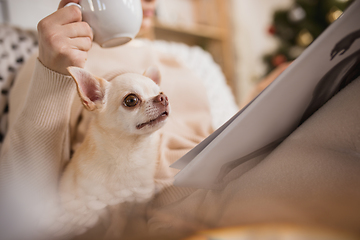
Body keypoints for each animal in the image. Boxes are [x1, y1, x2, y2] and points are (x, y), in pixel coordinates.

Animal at [40, 65, 169, 238]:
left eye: (160, 92)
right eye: (131, 100)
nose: (163, 98)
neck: (129, 154)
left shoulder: (142, 197)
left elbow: (135, 217)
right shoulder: (98, 206)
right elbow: (113, 223)